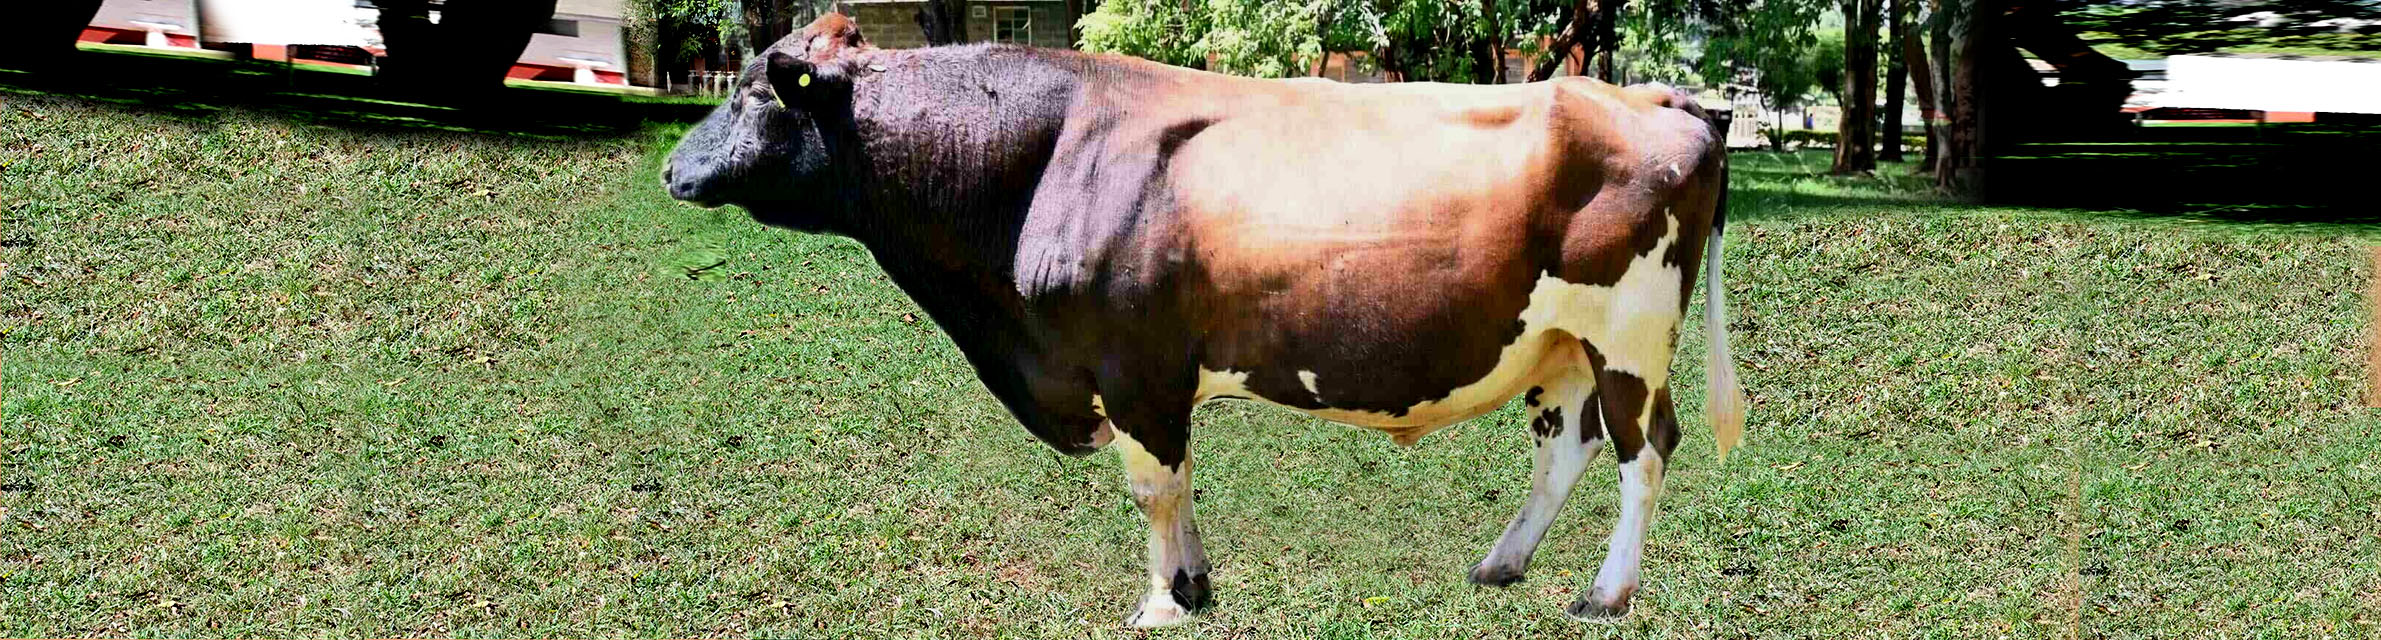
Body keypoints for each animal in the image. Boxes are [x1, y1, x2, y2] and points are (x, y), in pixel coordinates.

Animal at [663, 13, 1746, 627]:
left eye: (755, 93)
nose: (672, 169)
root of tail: (1661, 98)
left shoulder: (1133, 364)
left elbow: (1152, 487)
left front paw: (1161, 602)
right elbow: (1175, 489)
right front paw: (1192, 585)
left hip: (1629, 336)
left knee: (1644, 450)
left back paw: (1604, 594)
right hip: (1556, 343)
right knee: (1565, 446)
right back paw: (1502, 563)